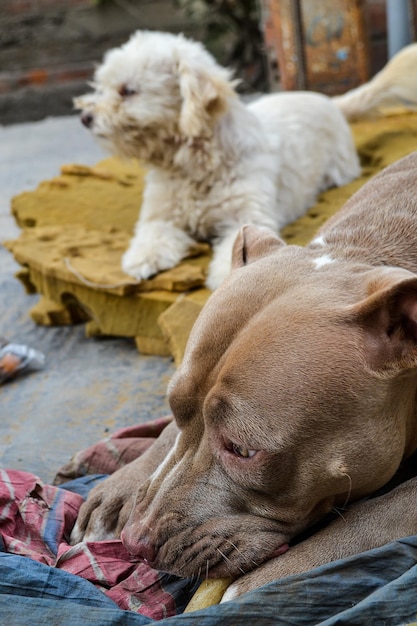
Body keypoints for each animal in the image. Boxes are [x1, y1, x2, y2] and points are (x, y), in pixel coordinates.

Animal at [70, 152, 416, 600]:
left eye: (243, 449)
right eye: (174, 407)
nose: (135, 542)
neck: (363, 252)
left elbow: (388, 509)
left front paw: (284, 572)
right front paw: (124, 485)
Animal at [75, 30, 416, 288]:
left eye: (127, 91)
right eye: (101, 87)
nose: (85, 118)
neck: (193, 166)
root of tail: (327, 100)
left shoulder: (247, 216)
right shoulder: (159, 216)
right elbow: (151, 236)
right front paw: (145, 259)